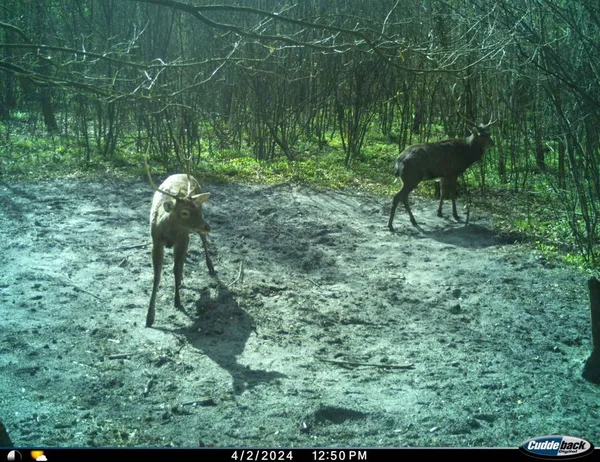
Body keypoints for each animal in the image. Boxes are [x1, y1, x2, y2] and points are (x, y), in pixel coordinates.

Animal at [146, 171, 216, 328]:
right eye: (184, 212)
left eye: (196, 208)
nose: (207, 226)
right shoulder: (156, 242)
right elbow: (157, 276)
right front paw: (149, 317)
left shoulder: (181, 239)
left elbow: (175, 270)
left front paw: (177, 301)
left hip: (194, 232)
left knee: (203, 241)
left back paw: (211, 267)